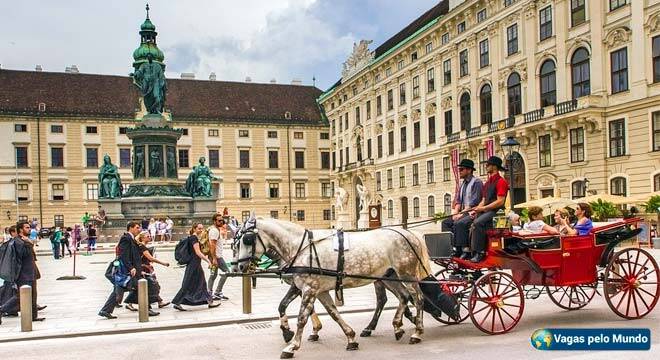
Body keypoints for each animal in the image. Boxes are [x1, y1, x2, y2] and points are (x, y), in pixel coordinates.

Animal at [235, 215, 430, 358]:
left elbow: (302, 317)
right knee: (403, 296)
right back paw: (397, 326)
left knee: (417, 298)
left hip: (406, 274)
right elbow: (330, 312)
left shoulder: (310, 288)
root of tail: (409, 233)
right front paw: (350, 337)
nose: (239, 267)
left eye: (247, 239)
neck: (301, 248)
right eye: (235, 243)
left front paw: (292, 346)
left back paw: (417, 332)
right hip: (388, 276)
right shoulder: (314, 289)